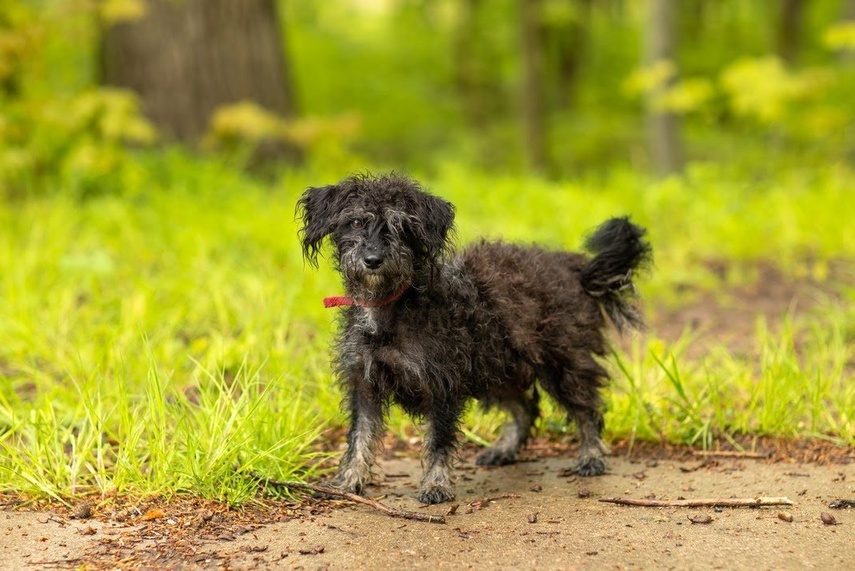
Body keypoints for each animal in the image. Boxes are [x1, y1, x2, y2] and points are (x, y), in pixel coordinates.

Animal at [298, 173, 652, 504]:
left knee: (587, 408)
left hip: (563, 364)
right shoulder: (364, 384)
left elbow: (438, 439)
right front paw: (347, 483)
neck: (389, 306)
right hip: (499, 368)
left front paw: (436, 485)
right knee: (526, 408)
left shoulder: (441, 383)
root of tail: (579, 271)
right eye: (356, 221)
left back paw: (591, 456)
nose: (372, 259)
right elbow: (359, 437)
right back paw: (504, 449)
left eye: (403, 227)